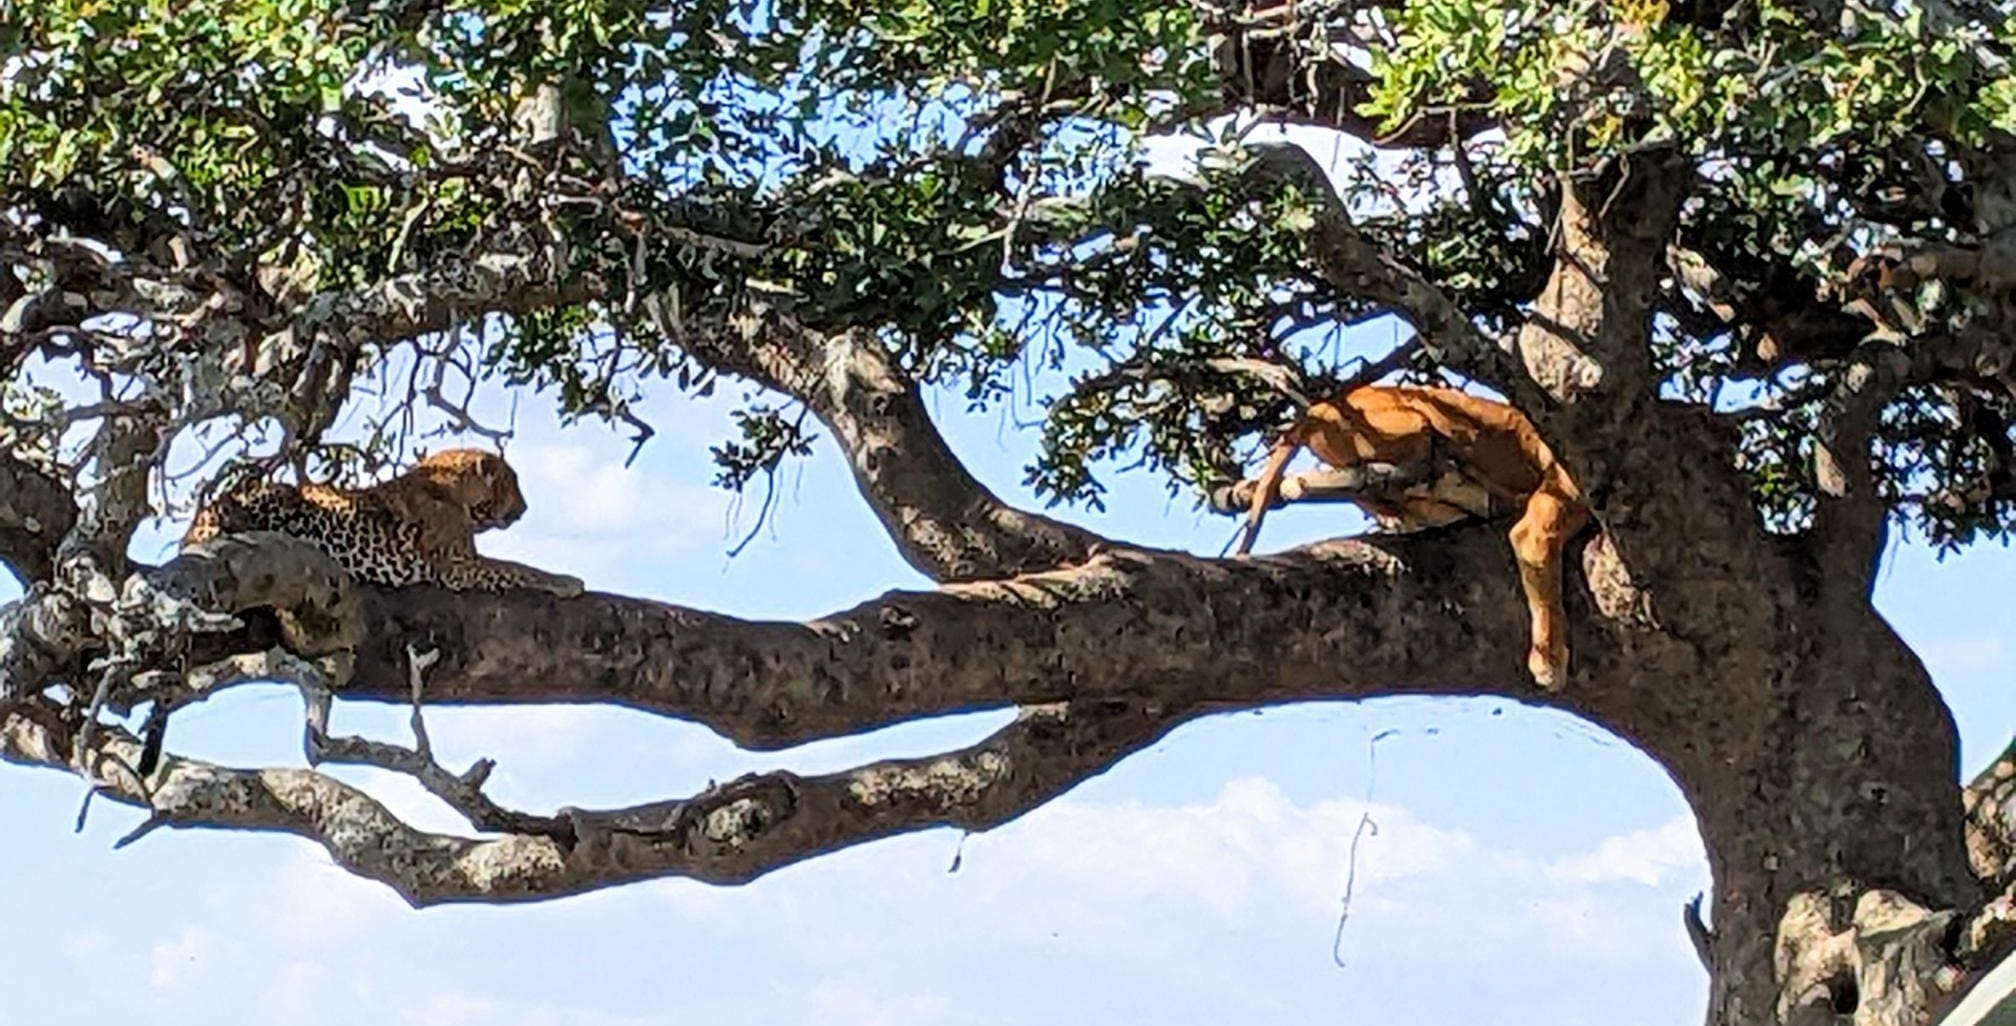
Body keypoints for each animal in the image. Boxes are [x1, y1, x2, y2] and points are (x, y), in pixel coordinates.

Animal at [183, 443, 584, 596]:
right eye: (513, 483)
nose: (525, 508)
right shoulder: (459, 566)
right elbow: (517, 568)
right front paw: (567, 581)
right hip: (280, 493)